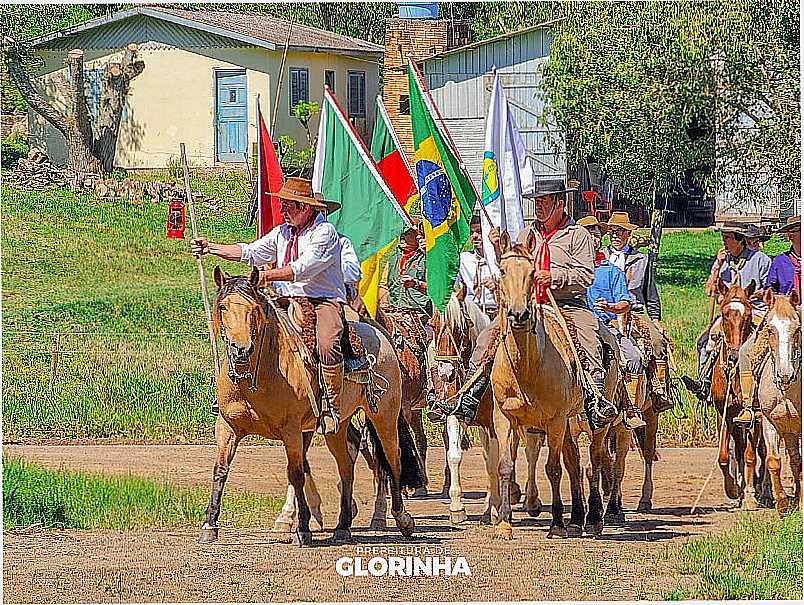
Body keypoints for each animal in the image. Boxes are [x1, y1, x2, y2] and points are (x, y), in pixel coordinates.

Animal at [199, 266, 420, 544]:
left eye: (254, 308)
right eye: (223, 307)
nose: (241, 349)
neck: (260, 375)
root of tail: (377, 330)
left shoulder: (292, 430)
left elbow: (295, 473)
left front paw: (302, 527)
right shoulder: (227, 427)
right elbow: (220, 469)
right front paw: (209, 524)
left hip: (384, 417)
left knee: (392, 459)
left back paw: (402, 519)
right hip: (337, 426)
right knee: (346, 466)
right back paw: (343, 525)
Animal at [430, 288, 544, 524]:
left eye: (460, 327)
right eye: (433, 325)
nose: (446, 372)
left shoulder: (493, 423)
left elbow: (493, 462)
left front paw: (493, 508)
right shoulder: (457, 415)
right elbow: (455, 455)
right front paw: (457, 508)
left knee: (531, 452)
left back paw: (530, 500)